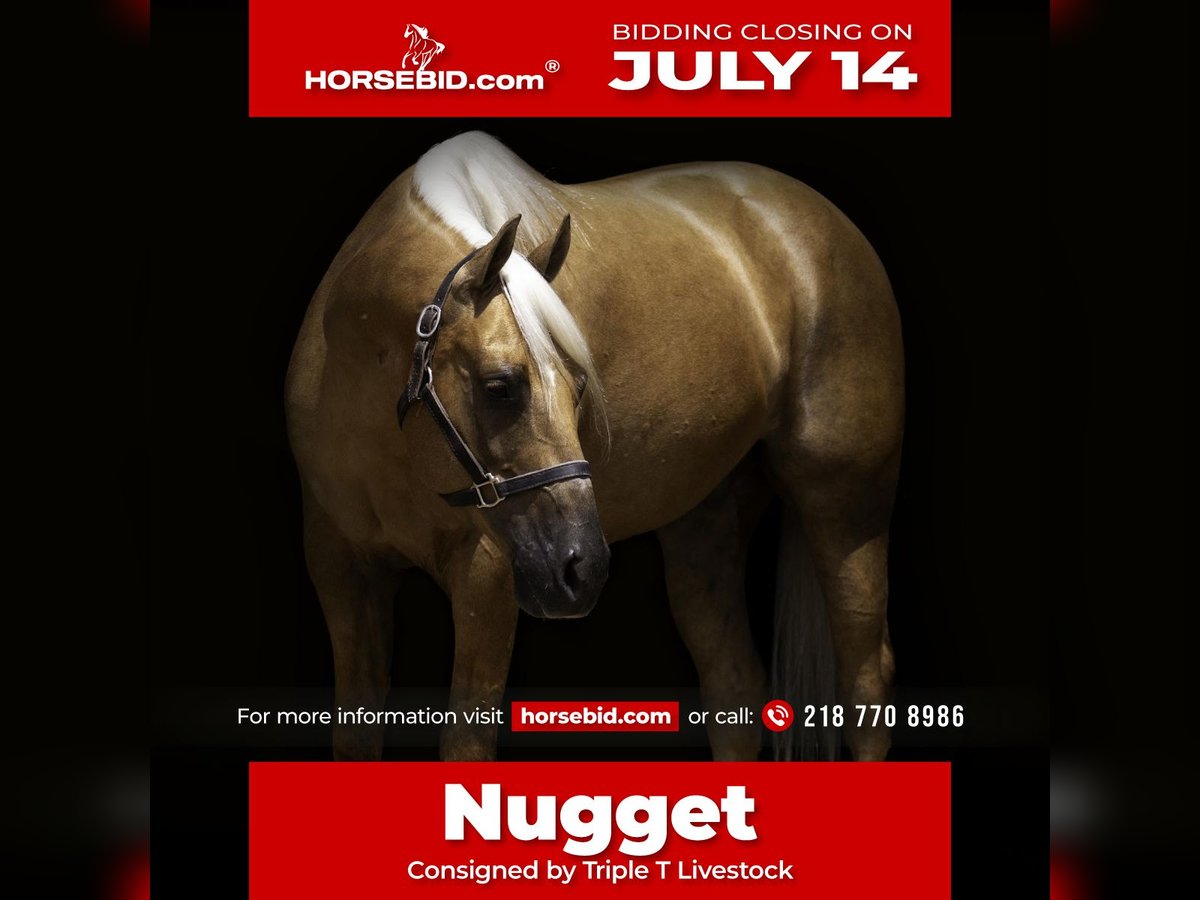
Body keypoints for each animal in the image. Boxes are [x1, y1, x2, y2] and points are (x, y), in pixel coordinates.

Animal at [286, 132, 904, 762]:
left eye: (579, 386)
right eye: (500, 386)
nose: (583, 568)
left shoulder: (487, 574)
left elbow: (465, 745)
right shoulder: (341, 570)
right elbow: (354, 737)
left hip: (846, 507)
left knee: (865, 682)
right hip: (705, 523)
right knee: (735, 691)